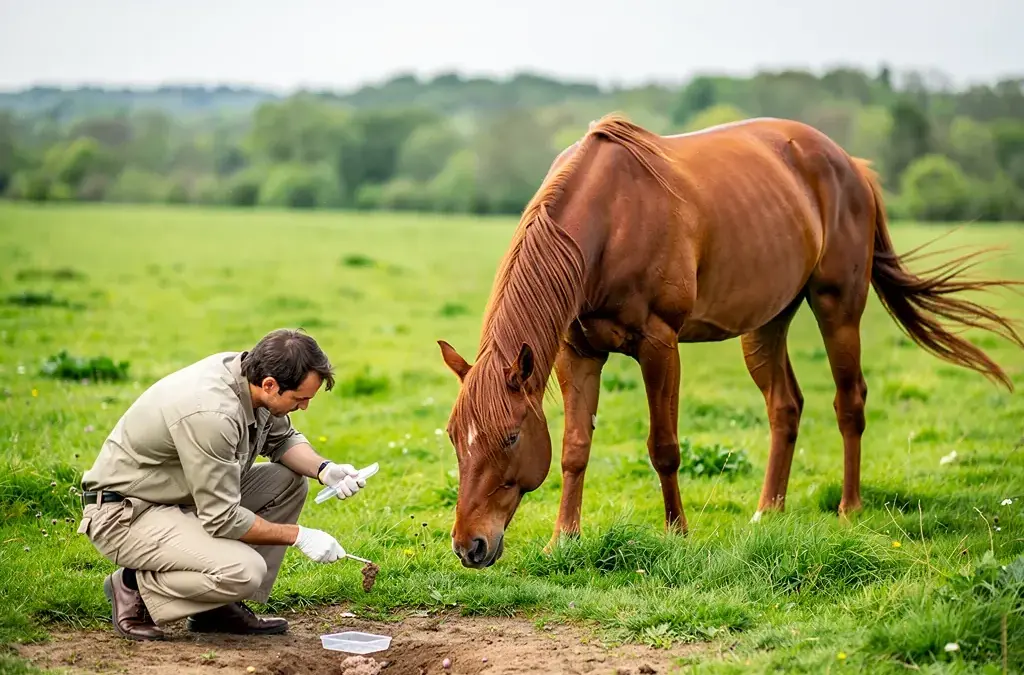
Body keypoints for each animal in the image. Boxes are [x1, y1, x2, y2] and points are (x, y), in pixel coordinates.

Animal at [436, 112, 1024, 569]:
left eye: (510, 437)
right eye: (454, 436)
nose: (470, 546)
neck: (608, 220)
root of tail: (849, 164)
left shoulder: (659, 345)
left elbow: (664, 448)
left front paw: (677, 534)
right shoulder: (577, 351)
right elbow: (576, 448)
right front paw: (564, 539)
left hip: (837, 307)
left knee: (849, 401)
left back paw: (849, 509)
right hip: (767, 322)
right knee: (785, 406)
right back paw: (769, 511)